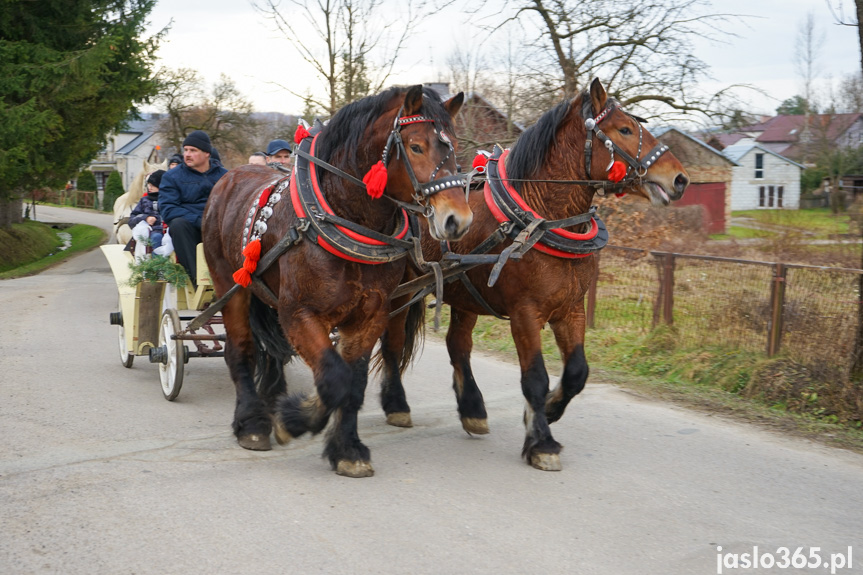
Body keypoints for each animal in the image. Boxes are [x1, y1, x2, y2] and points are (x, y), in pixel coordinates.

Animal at [203, 84, 472, 476]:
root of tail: (229, 177)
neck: (345, 219)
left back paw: (272, 394)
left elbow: (352, 383)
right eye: (416, 146)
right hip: (230, 286)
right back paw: (252, 422)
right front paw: (292, 421)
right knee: (240, 350)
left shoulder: (369, 315)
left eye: (453, 145)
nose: (458, 220)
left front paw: (346, 448)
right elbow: (334, 378)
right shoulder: (299, 313)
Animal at [376, 76, 688, 472]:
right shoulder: (525, 313)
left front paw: (550, 410)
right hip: (400, 288)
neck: (540, 218)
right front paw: (541, 441)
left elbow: (577, 372)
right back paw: (396, 404)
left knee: (457, 344)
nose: (680, 178)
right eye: (625, 129)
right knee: (392, 340)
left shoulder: (571, 309)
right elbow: (535, 376)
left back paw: (473, 409)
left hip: (463, 290)